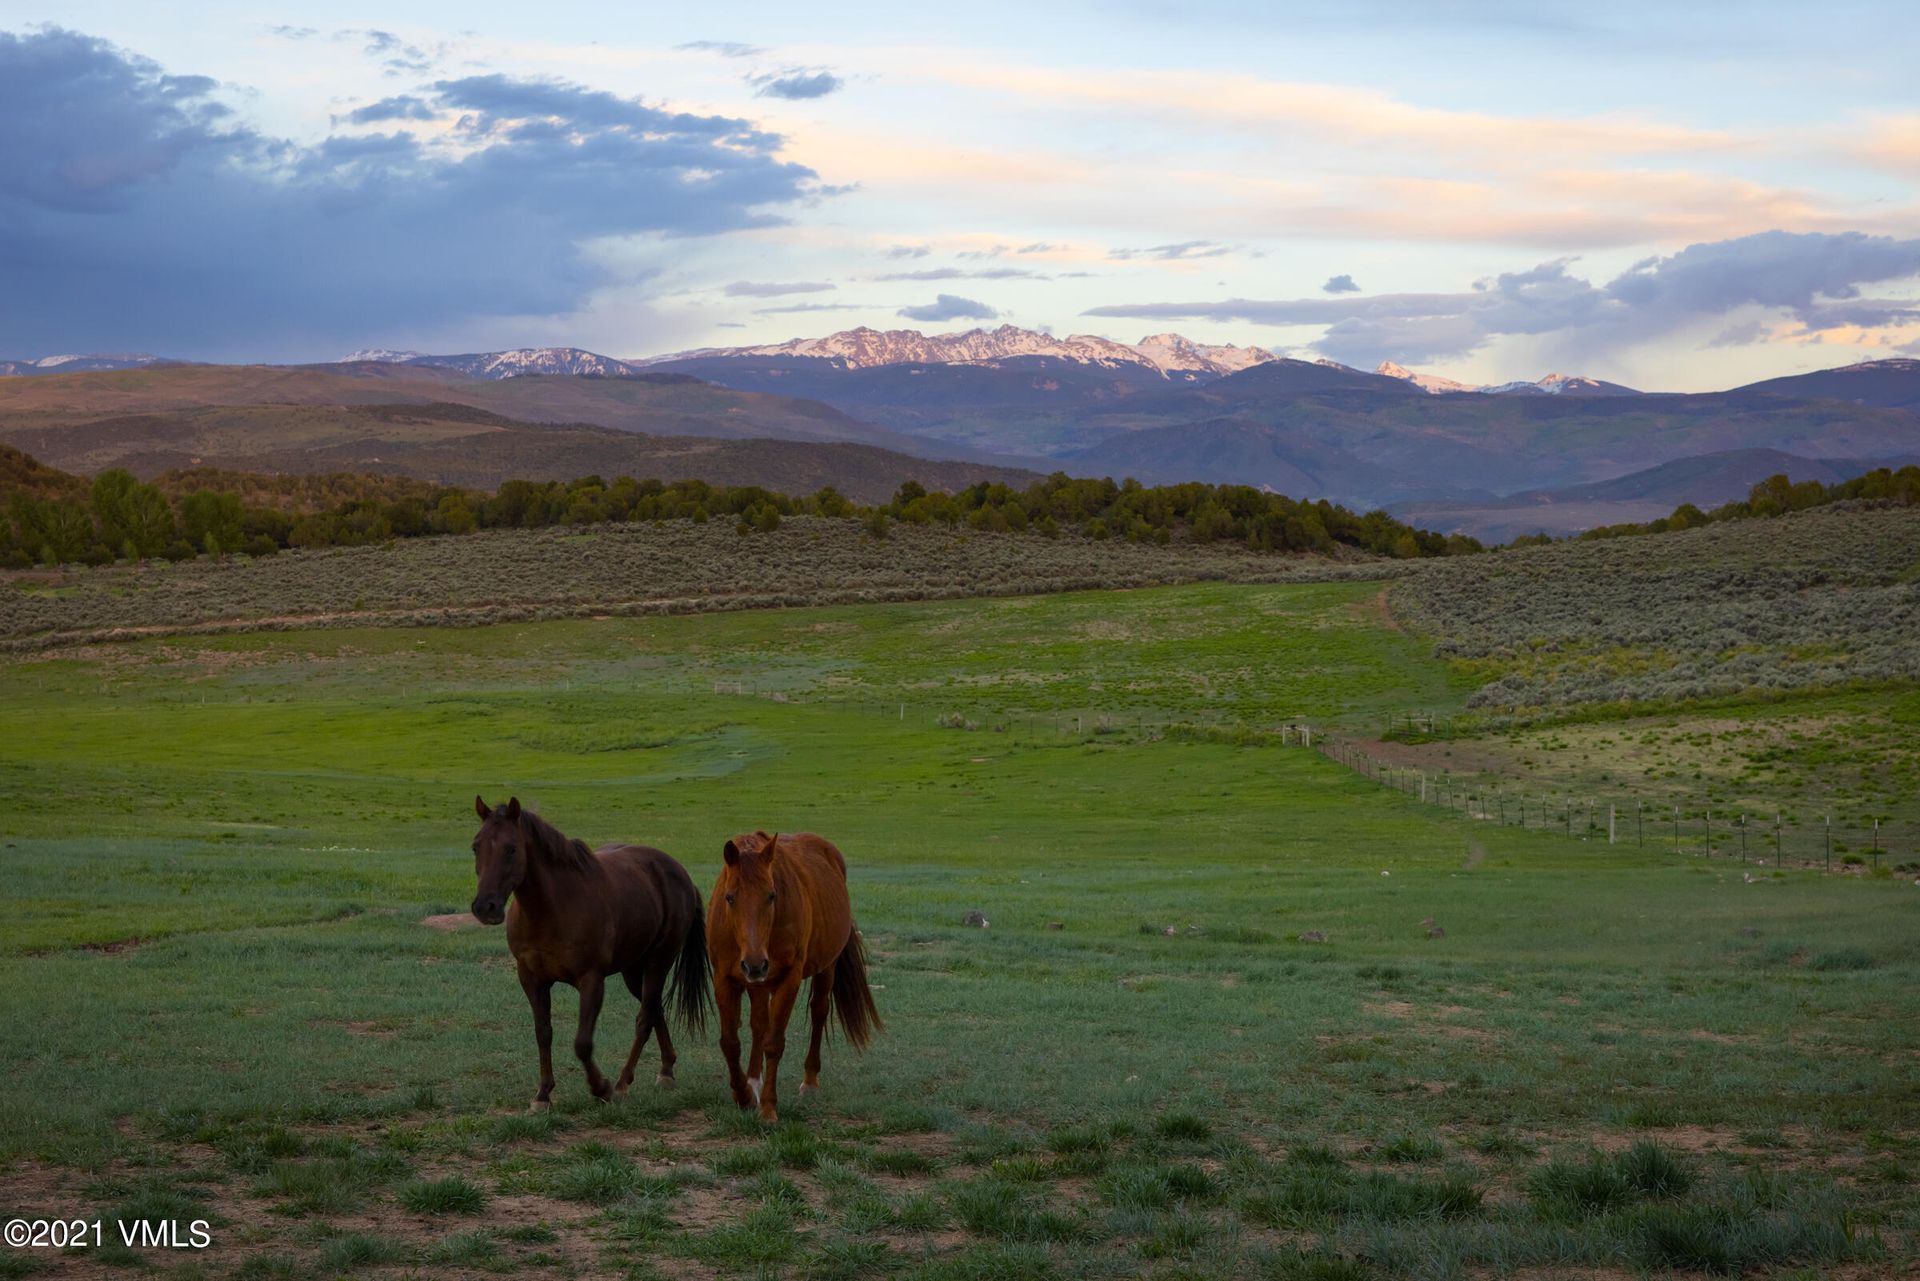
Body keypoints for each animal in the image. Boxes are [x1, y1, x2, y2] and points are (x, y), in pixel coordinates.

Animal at [468, 795, 710, 1106]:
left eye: (511, 849)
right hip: (634, 970)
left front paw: (601, 1087)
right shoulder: (531, 978)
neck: (552, 908)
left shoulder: (591, 980)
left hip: (659, 961)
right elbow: (543, 1033)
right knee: (655, 1008)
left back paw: (623, 1082)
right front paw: (543, 1093)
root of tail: (680, 873)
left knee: (644, 1018)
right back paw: (666, 1069)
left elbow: (582, 1043)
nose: (485, 907)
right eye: (476, 846)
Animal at [710, 833, 879, 1121]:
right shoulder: (723, 979)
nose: (754, 965)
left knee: (818, 1011)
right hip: (758, 983)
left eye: (771, 895)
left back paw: (809, 1082)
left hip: (825, 967)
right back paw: (753, 1080)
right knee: (759, 1023)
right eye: (729, 897)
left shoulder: (788, 980)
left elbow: (774, 1043)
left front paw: (768, 1108)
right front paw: (744, 1095)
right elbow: (731, 1042)